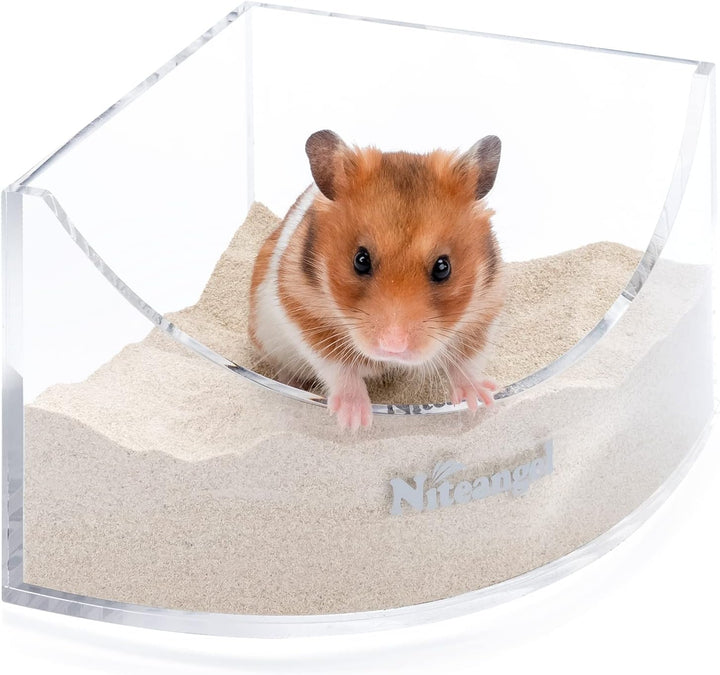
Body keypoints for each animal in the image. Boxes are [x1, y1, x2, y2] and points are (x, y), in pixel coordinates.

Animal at [249, 130, 504, 430]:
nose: (393, 347)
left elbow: (466, 362)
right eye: (360, 260)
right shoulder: (302, 310)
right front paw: (355, 421)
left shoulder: (483, 313)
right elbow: (338, 367)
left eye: (443, 267)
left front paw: (480, 401)